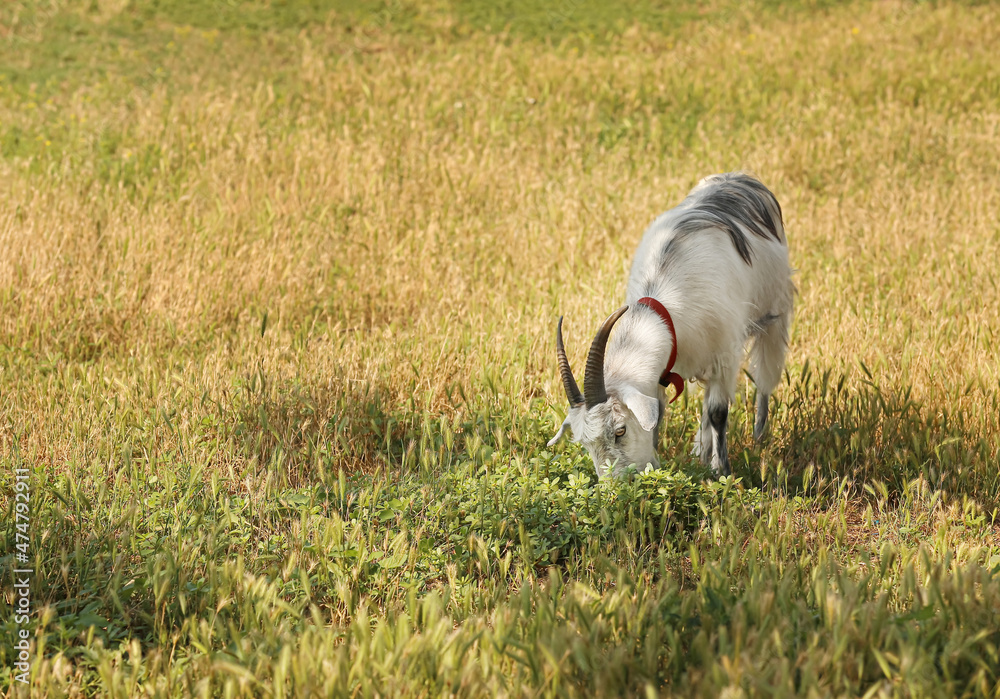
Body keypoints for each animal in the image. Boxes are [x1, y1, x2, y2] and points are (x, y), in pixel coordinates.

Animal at [552, 172, 792, 478]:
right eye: (584, 443)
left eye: (620, 430)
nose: (615, 485)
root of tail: (740, 178)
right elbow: (660, 415)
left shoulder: (724, 354)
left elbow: (718, 412)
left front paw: (722, 473)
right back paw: (701, 450)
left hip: (775, 312)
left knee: (765, 376)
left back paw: (759, 436)